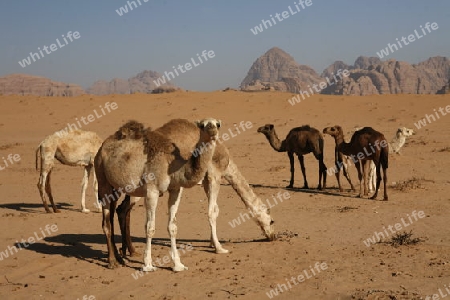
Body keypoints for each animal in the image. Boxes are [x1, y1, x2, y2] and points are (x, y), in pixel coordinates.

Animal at [95, 118, 274, 270]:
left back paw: (125, 254)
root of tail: (102, 146)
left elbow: (177, 223)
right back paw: (113, 260)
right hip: (108, 183)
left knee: (119, 211)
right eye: (271, 220)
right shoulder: (213, 176)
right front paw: (218, 247)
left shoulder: (184, 186)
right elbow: (213, 211)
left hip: (120, 187)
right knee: (111, 217)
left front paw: (186, 258)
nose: (273, 235)